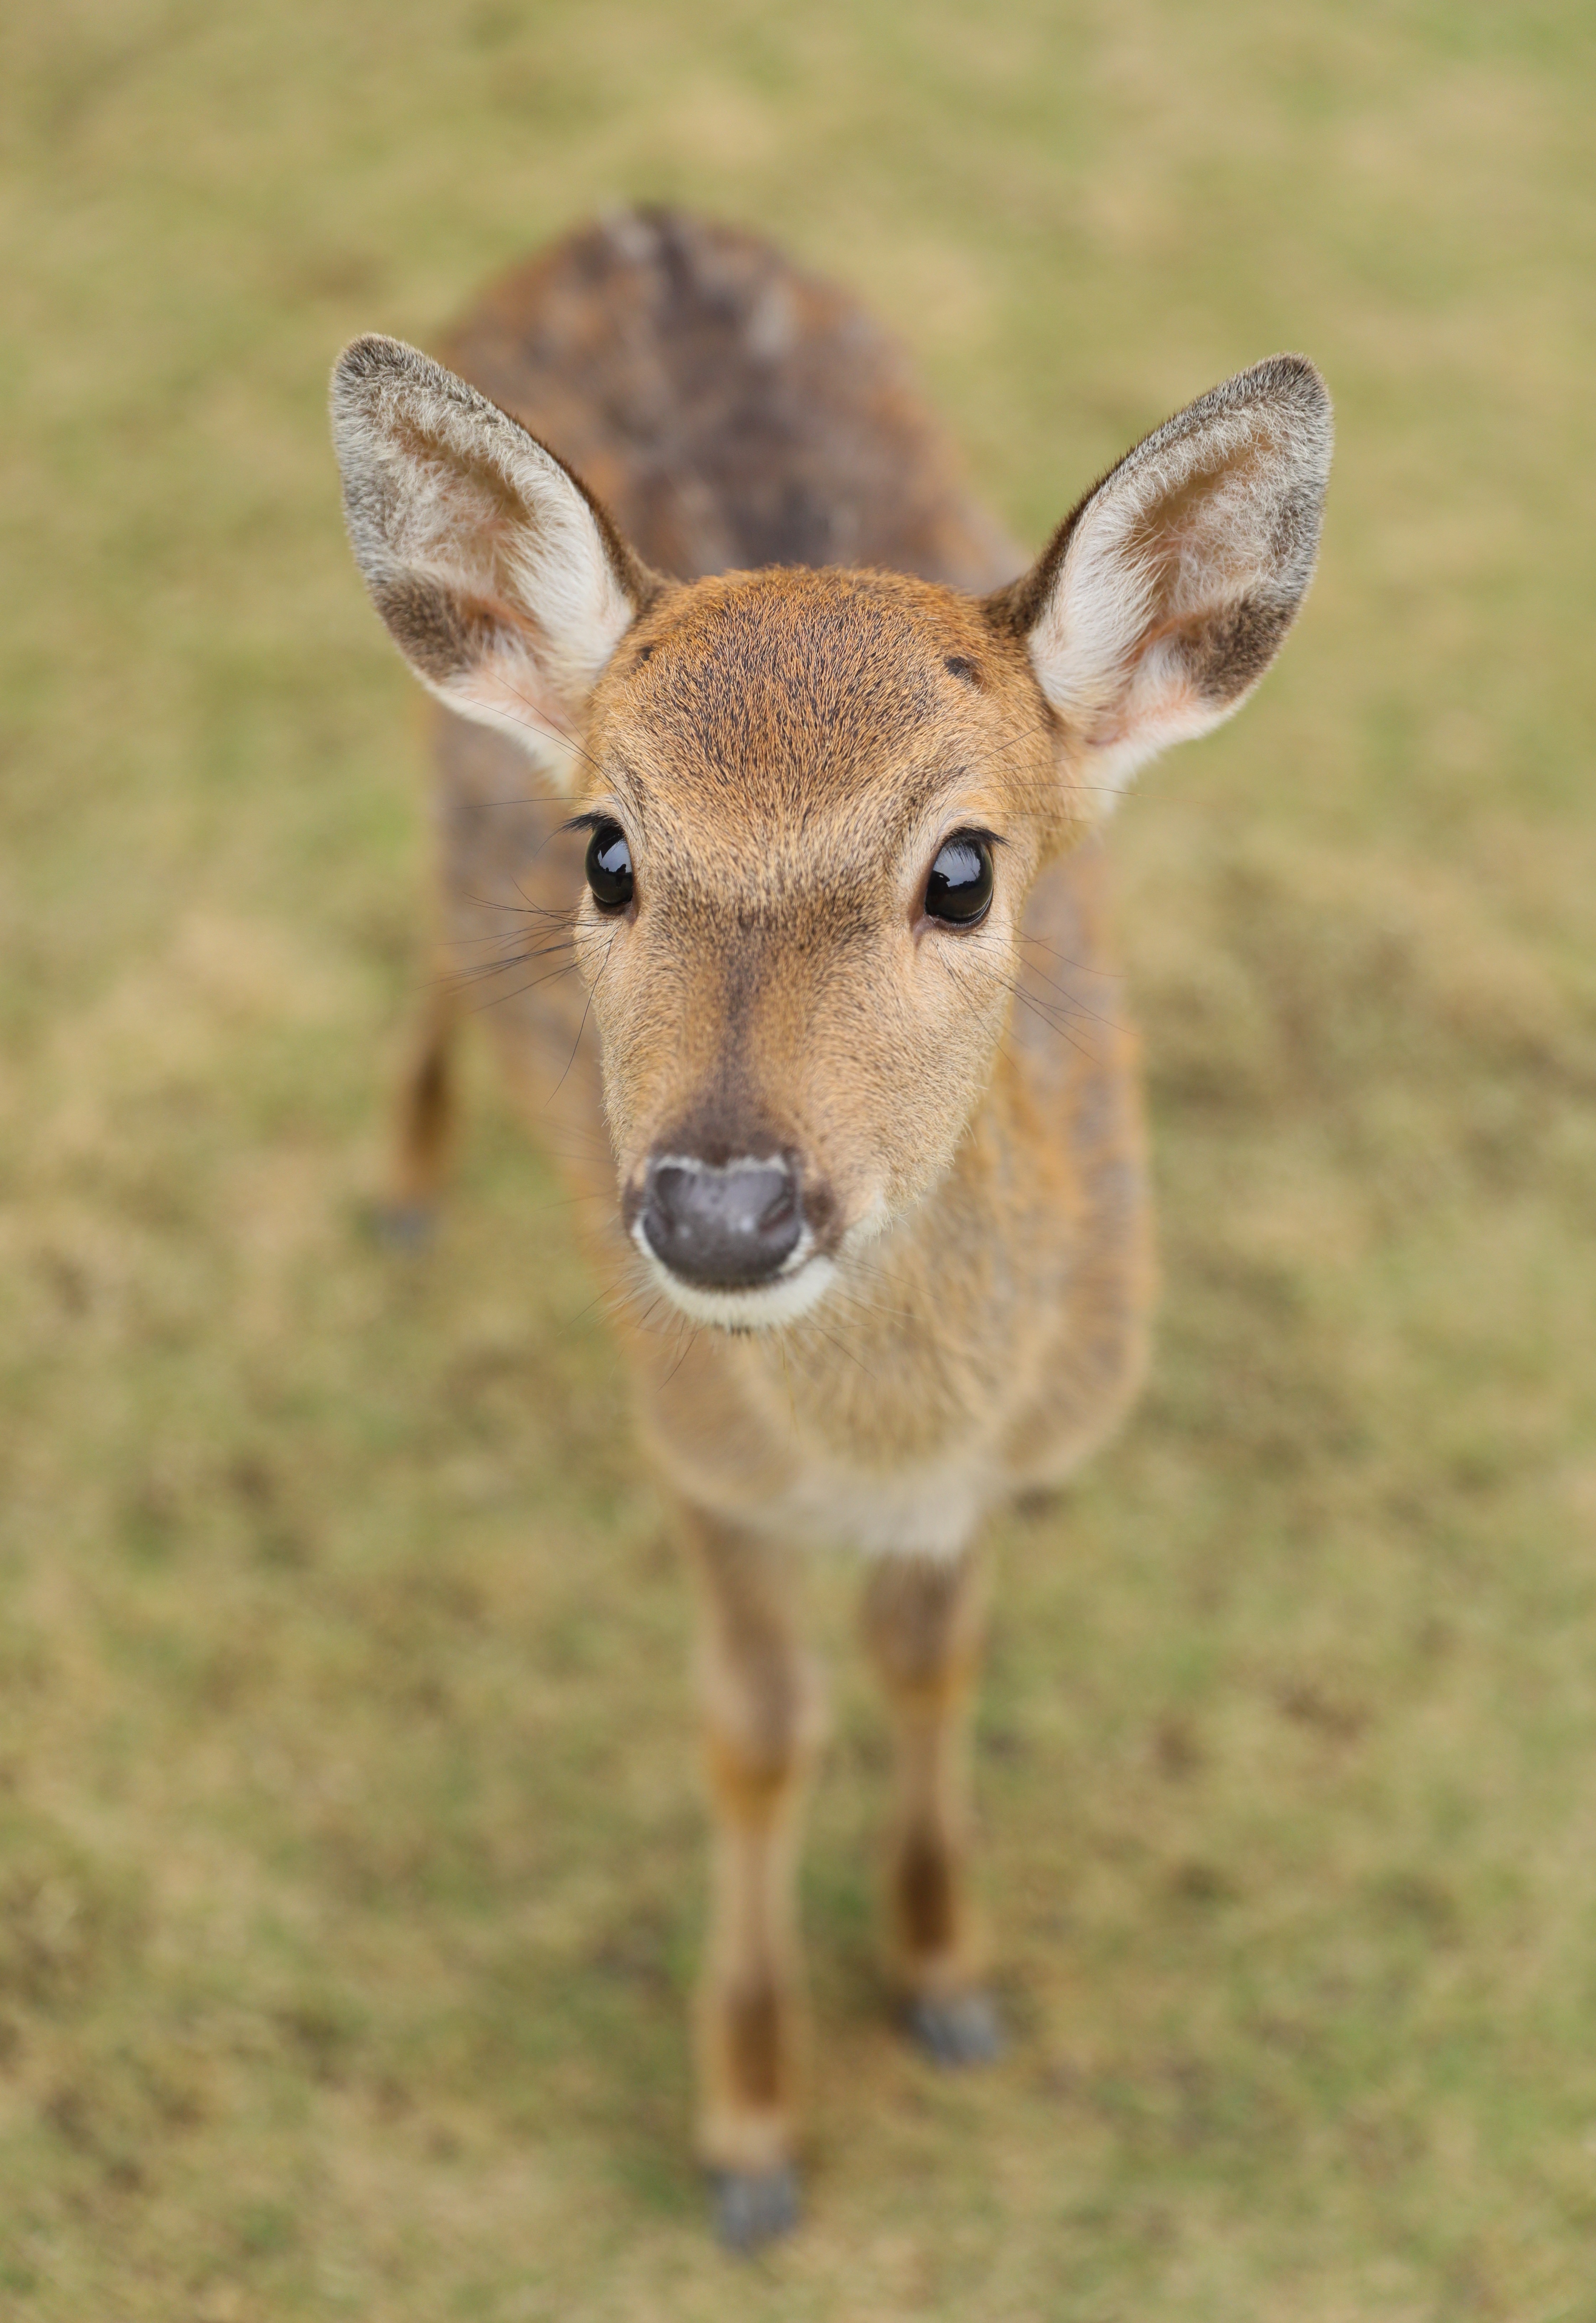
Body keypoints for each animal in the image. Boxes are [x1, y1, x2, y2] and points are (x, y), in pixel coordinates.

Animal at [329, 208, 1330, 2251]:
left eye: (964, 864)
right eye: (607, 851)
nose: (718, 1206)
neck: (890, 1448)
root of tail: (630, 213)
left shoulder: (1007, 1466)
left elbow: (932, 1656)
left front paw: (949, 1977)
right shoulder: (694, 1445)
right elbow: (758, 1726)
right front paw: (749, 2132)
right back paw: (398, 1180)